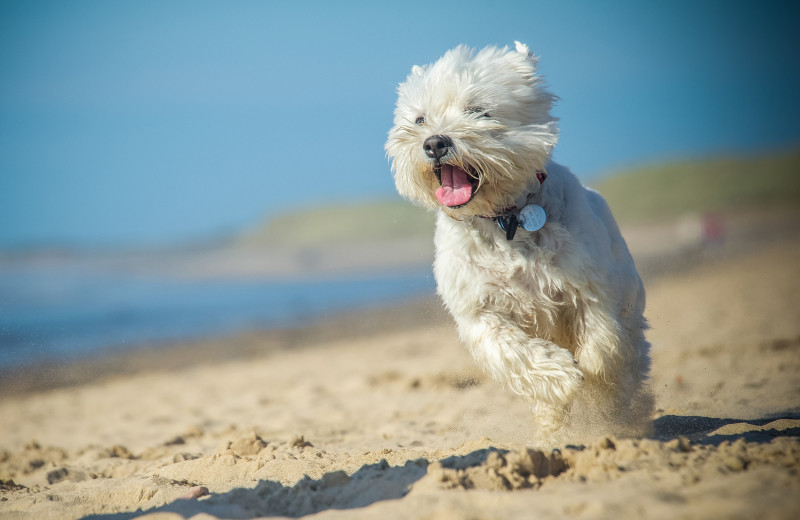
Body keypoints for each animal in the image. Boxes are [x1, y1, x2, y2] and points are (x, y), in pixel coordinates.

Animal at [384, 42, 652, 438]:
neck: (505, 219)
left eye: (478, 110)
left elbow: (602, 346)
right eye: (419, 120)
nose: (434, 143)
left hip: (628, 295)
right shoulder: (479, 310)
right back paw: (553, 421)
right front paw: (561, 376)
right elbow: (512, 351)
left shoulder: (589, 287)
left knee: (631, 348)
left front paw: (599, 389)